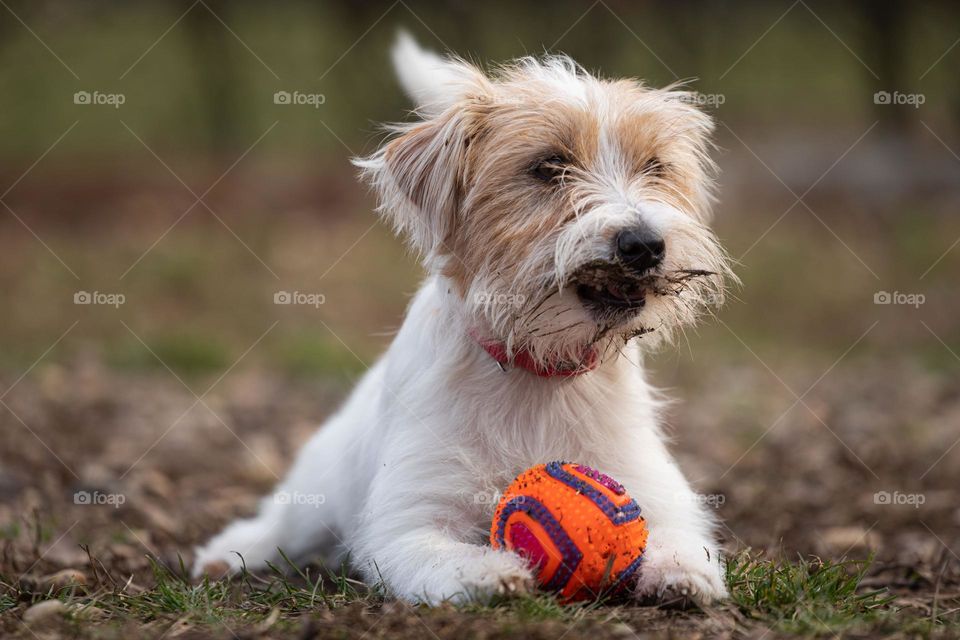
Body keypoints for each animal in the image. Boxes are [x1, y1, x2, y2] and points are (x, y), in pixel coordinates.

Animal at [195, 33, 736, 604]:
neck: (537, 371)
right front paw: (490, 572)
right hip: (317, 491)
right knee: (282, 524)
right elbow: (444, 555)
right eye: (548, 167)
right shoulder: (410, 522)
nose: (645, 244)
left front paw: (681, 571)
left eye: (655, 167)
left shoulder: (657, 491)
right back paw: (229, 554)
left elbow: (681, 537)